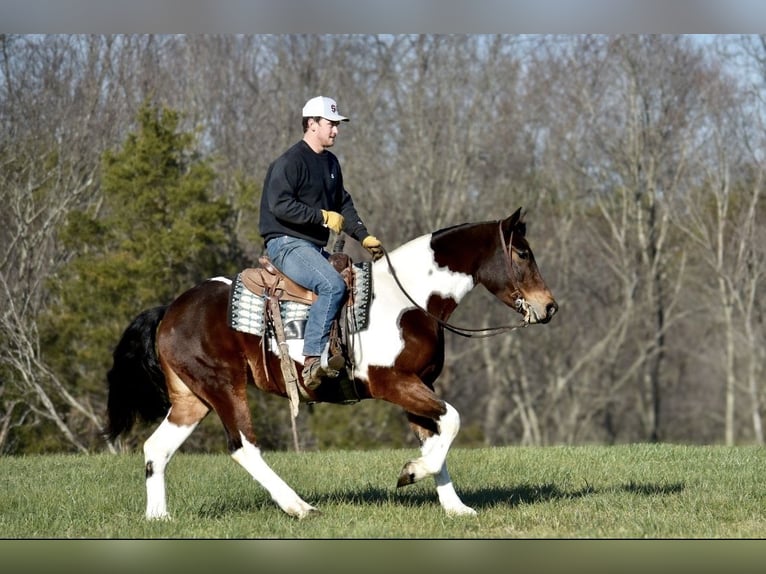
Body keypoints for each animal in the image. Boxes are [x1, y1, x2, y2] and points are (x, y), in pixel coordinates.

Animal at [105, 208, 560, 520]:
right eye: (522, 253)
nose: (550, 307)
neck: (408, 302)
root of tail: (170, 310)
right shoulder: (393, 383)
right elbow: (451, 423)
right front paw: (410, 474)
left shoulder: (419, 386)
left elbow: (438, 437)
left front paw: (454, 507)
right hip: (222, 387)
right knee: (243, 447)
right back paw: (299, 507)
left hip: (191, 399)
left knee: (156, 448)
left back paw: (159, 517)